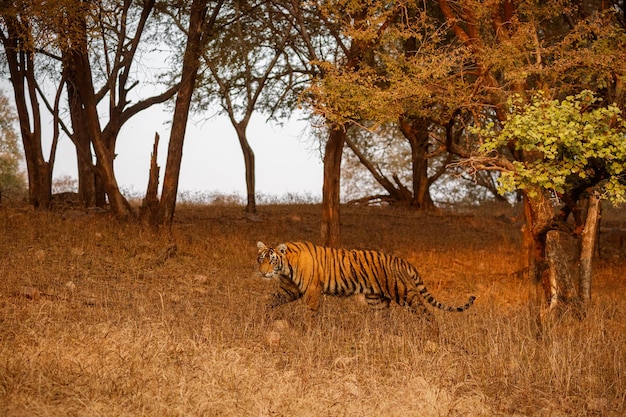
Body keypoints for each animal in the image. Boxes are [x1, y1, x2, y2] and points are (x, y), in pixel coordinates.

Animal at [254, 239, 472, 316]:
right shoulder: (289, 290)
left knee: (426, 312)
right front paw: (261, 316)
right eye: (261, 259)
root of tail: (400, 261)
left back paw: (432, 335)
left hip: (402, 292)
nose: (263, 272)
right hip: (377, 299)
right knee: (384, 319)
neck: (285, 267)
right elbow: (270, 300)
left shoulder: (312, 291)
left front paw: (309, 332)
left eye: (272, 261)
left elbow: (311, 313)